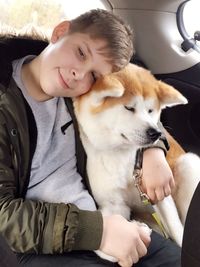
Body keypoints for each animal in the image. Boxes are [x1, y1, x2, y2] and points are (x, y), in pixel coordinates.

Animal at [73, 62, 200, 251]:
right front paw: (136, 230)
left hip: (188, 163)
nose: (155, 132)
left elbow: (178, 232)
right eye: (129, 108)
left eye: (150, 110)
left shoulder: (161, 197)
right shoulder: (114, 205)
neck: (122, 156)